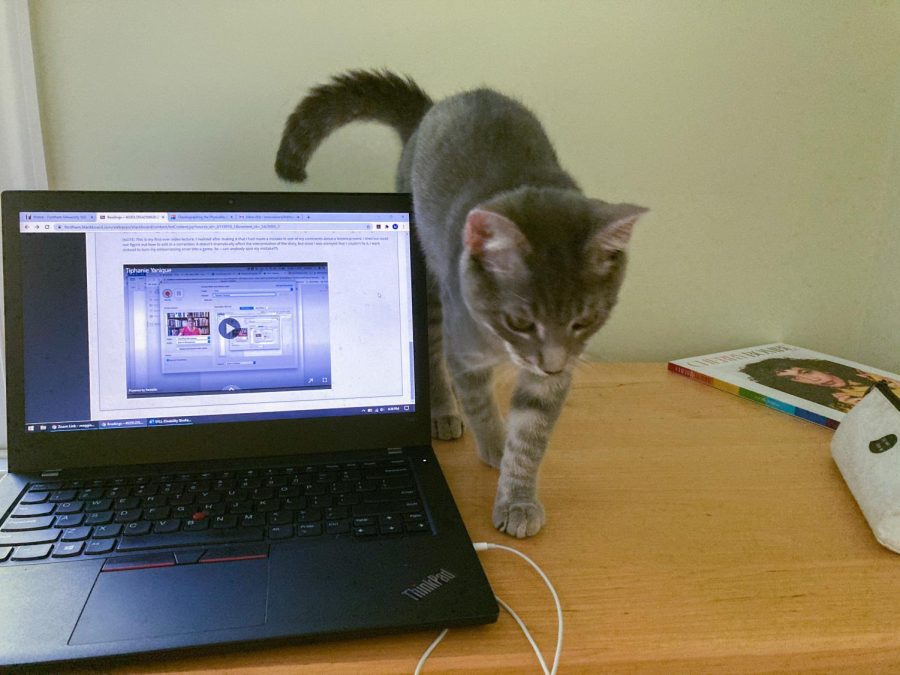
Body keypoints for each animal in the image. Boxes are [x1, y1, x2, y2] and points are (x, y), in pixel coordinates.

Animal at [274, 71, 648, 540]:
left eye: (584, 320)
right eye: (519, 320)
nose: (551, 364)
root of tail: (432, 109)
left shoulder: (554, 375)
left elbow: (532, 435)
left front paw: (518, 496)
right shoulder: (464, 347)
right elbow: (480, 404)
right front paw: (494, 445)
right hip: (430, 283)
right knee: (432, 354)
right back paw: (442, 411)